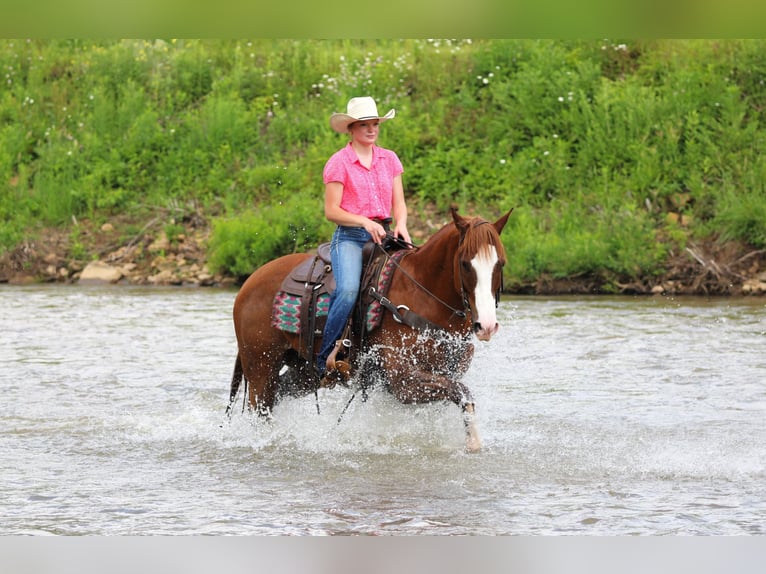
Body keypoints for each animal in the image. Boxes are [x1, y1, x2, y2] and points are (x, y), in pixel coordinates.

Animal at [227, 207, 512, 452]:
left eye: (500, 263)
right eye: (465, 263)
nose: (486, 326)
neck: (423, 293)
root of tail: (249, 282)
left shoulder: (443, 371)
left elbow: (455, 395)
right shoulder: (401, 380)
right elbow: (461, 391)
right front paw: (474, 441)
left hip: (302, 371)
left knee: (278, 396)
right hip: (261, 367)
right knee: (260, 409)